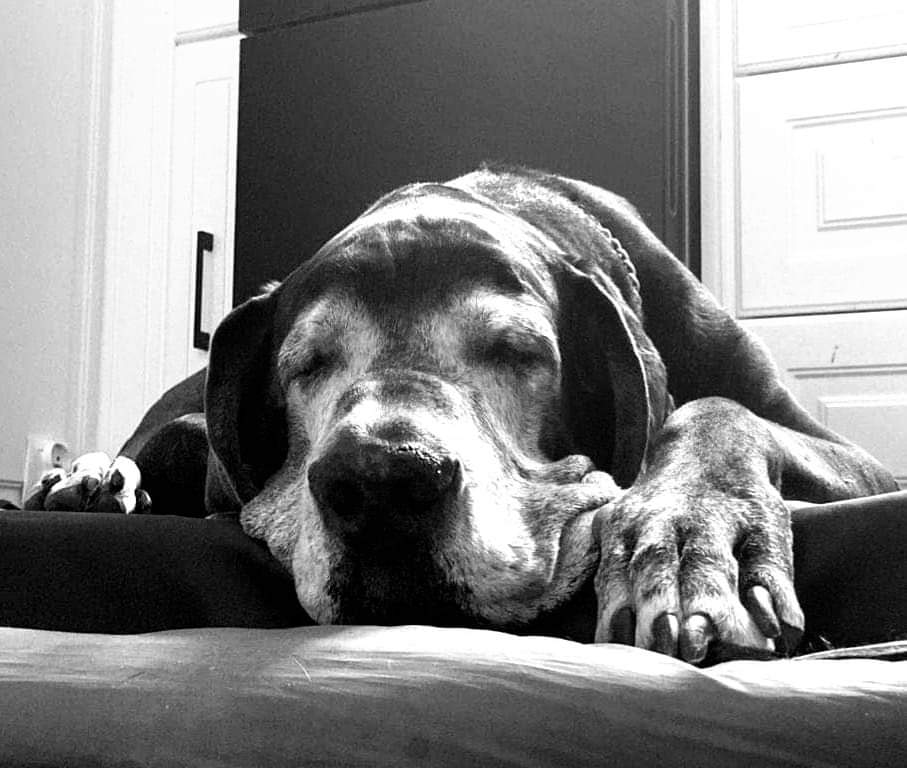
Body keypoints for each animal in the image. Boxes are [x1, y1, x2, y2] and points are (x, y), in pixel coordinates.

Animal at [28, 165, 897, 662]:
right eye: (306, 365)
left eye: (517, 351)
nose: (381, 481)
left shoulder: (859, 459)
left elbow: (718, 408)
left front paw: (692, 538)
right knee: (159, 442)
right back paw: (87, 479)